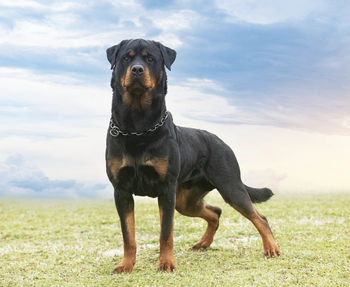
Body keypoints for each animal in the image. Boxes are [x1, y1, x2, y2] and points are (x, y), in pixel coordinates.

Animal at [104, 38, 278, 274]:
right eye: (126, 58)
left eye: (150, 59)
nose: (137, 69)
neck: (138, 126)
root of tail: (221, 142)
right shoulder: (121, 190)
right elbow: (128, 235)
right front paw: (126, 265)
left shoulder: (166, 189)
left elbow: (165, 232)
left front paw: (167, 264)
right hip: (186, 200)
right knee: (215, 212)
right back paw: (203, 243)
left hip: (230, 187)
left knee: (259, 217)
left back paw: (271, 248)